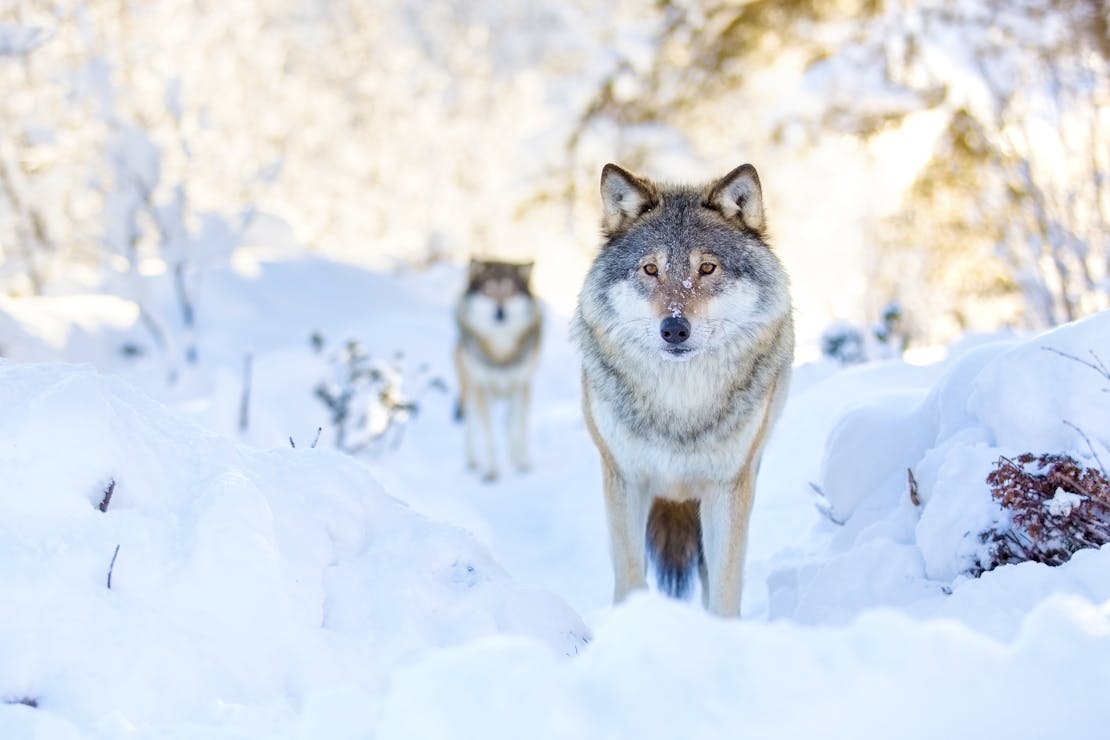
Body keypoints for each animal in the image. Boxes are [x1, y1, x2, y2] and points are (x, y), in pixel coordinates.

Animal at [450, 259, 537, 481]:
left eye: (511, 292)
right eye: (488, 291)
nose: (500, 313)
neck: (501, 351)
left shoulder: (522, 385)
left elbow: (517, 428)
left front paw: (523, 463)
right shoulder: (482, 388)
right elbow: (488, 433)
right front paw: (491, 471)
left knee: (508, 423)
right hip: (470, 391)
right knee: (471, 426)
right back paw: (472, 461)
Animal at [568, 163, 794, 621]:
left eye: (706, 268)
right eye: (650, 269)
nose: (673, 328)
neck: (679, 407)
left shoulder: (728, 486)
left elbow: (724, 587)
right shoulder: (624, 478)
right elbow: (630, 576)